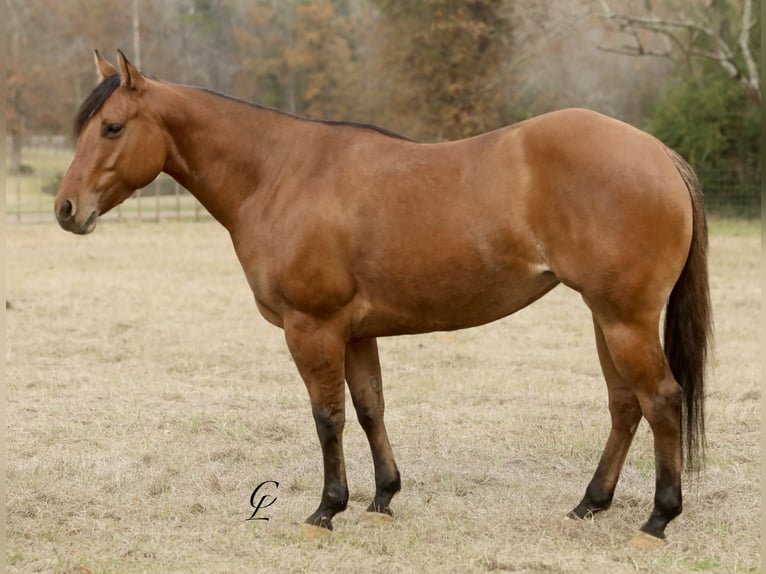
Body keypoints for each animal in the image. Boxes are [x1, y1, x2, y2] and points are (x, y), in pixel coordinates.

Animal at [55, 50, 712, 548]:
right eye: (84, 127)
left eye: (112, 127)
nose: (66, 210)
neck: (280, 174)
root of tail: (658, 153)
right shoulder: (357, 332)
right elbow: (370, 407)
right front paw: (382, 499)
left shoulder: (312, 328)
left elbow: (328, 416)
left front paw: (327, 509)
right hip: (605, 317)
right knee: (625, 405)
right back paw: (589, 504)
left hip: (624, 319)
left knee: (660, 399)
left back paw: (657, 520)